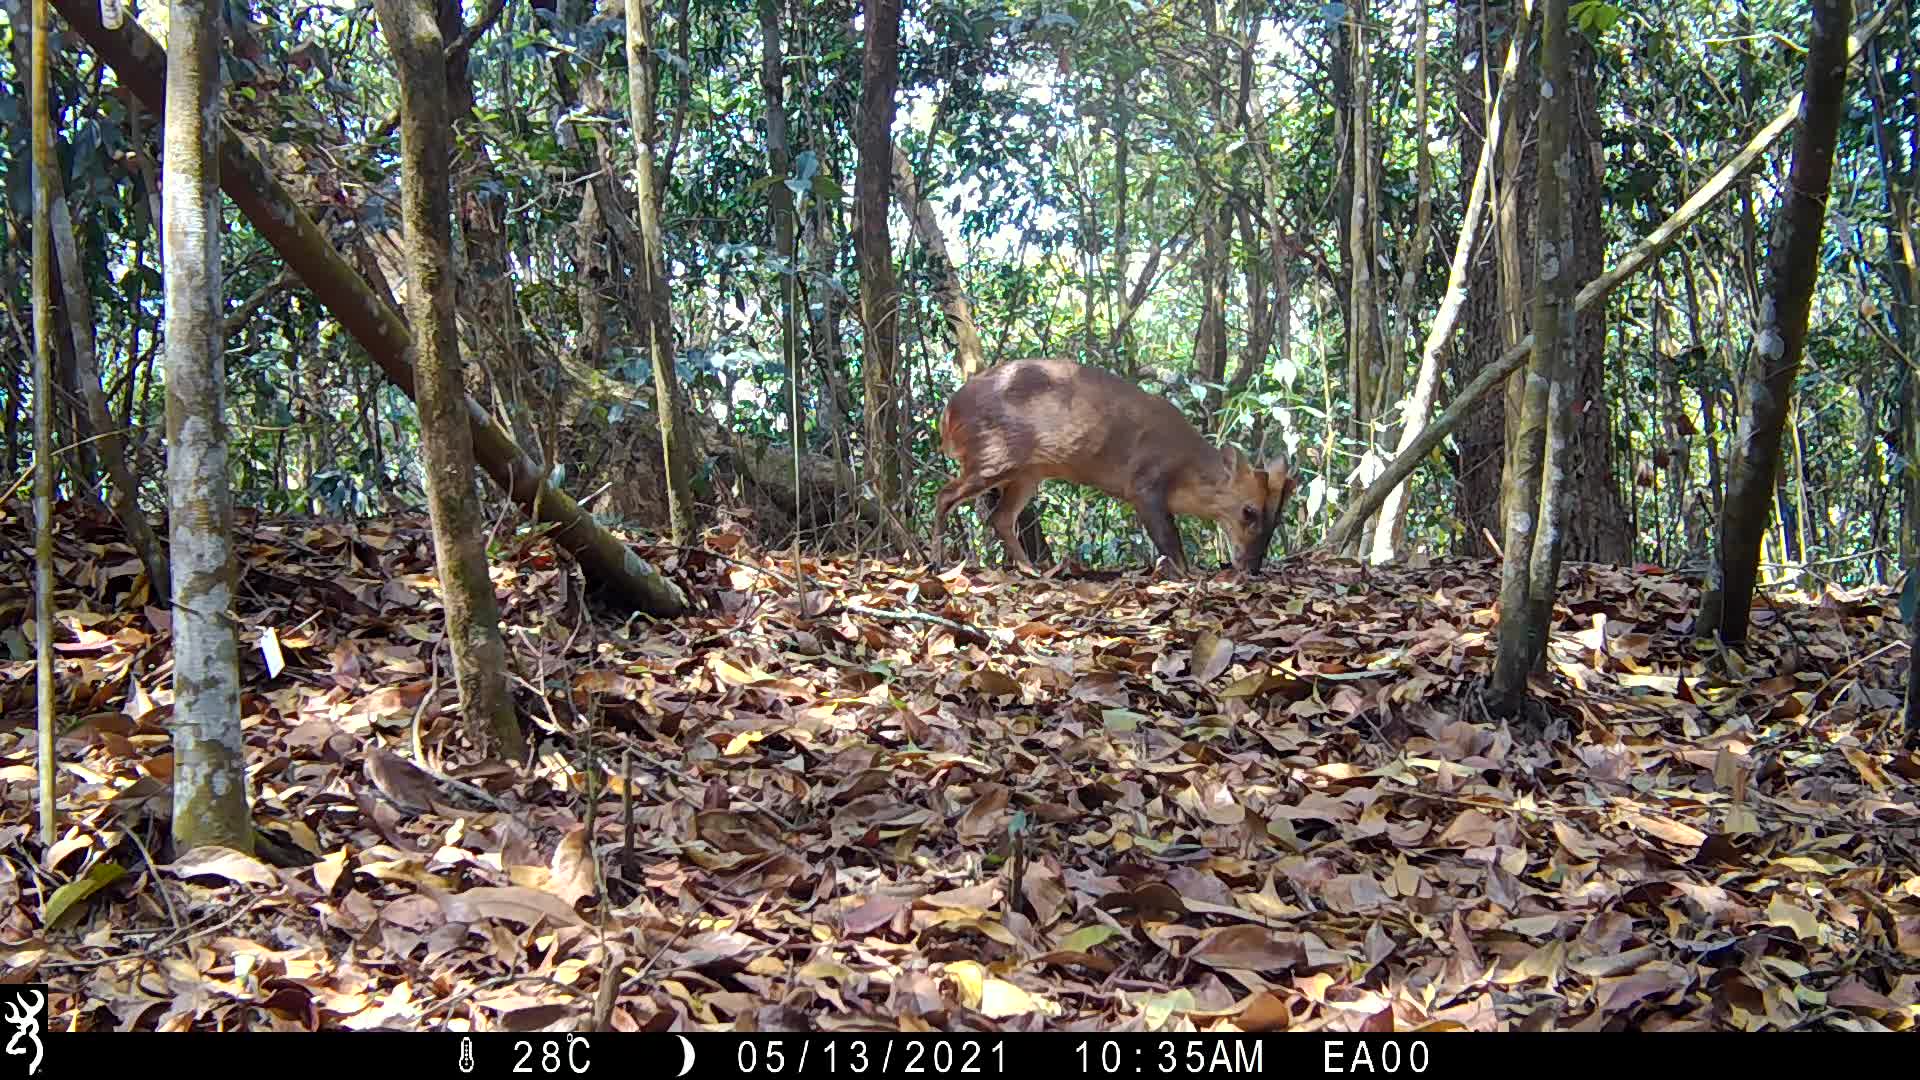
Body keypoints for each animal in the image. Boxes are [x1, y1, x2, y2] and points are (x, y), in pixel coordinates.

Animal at [925, 357, 1297, 576]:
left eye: (1277, 517)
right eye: (1248, 511)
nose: (1253, 568)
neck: (1188, 474)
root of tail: (947, 413)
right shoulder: (1144, 484)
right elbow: (1169, 541)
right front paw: (1187, 575)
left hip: (1027, 472)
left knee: (1000, 517)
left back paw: (1032, 571)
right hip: (993, 454)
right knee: (945, 495)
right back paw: (937, 561)